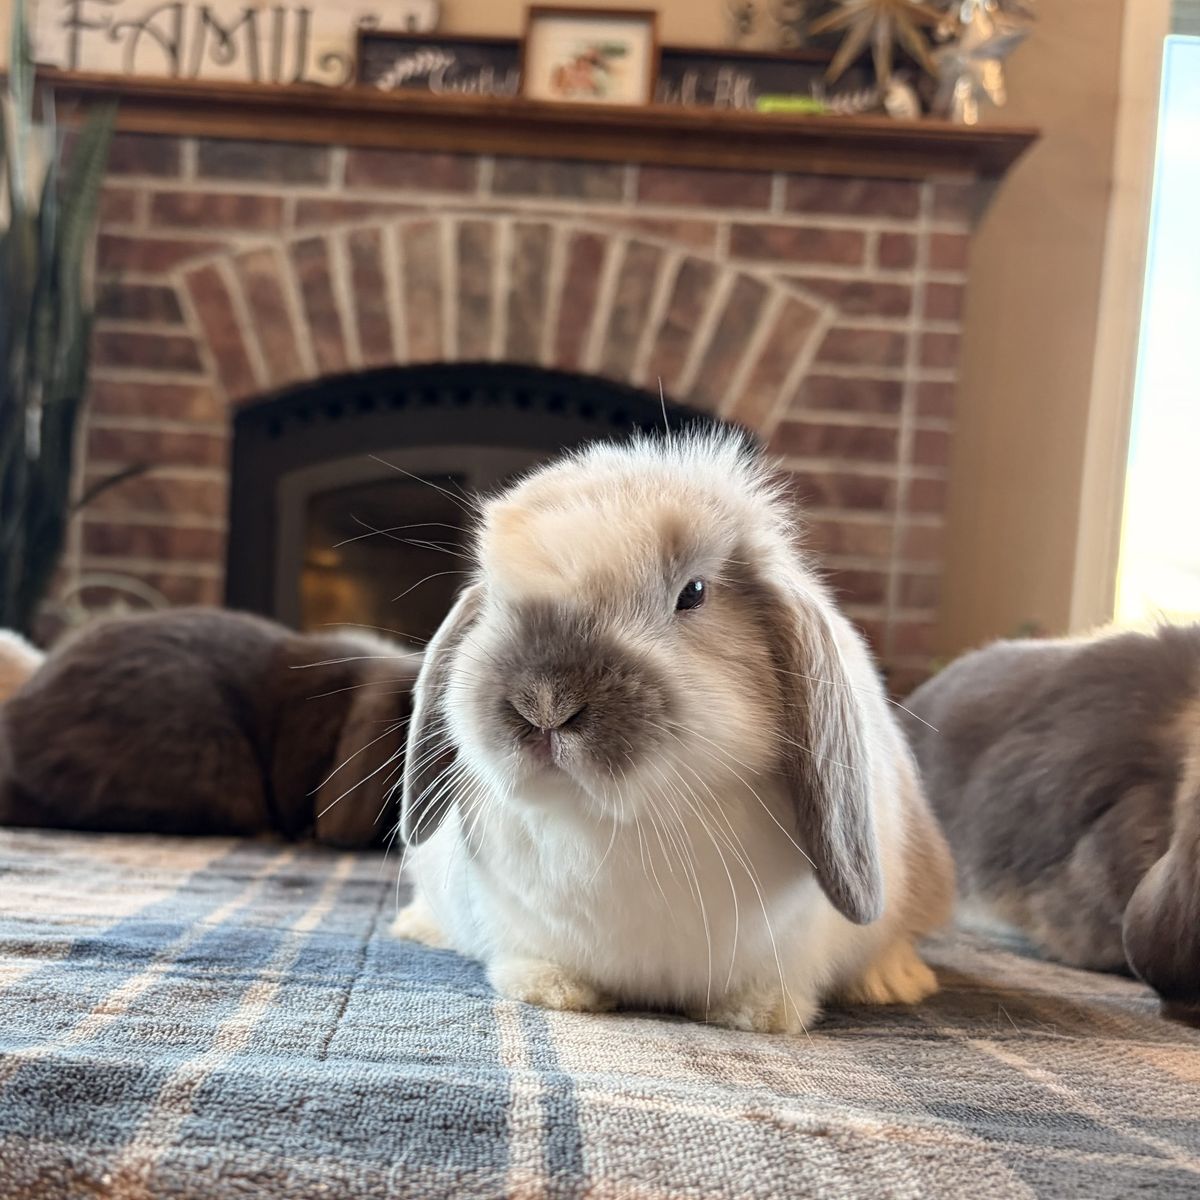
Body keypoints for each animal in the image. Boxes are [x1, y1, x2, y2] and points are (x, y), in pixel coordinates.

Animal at [392, 429, 954, 1032]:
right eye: (494, 599)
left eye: (695, 592)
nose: (542, 704)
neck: (622, 823)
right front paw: (553, 990)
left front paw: (756, 1015)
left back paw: (896, 982)